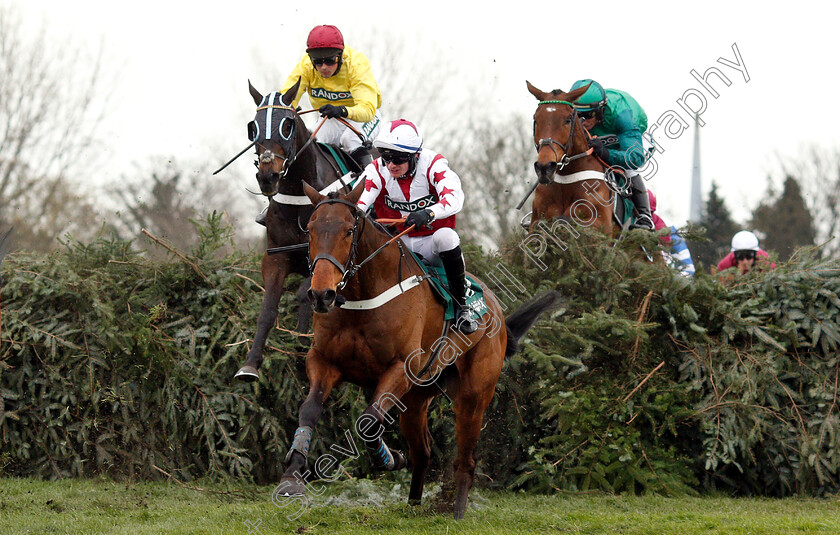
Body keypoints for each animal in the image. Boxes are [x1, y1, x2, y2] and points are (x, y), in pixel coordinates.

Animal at [233, 80, 360, 382]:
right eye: (253, 127)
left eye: (287, 125)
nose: (267, 176)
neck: (299, 197)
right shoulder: (276, 257)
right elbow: (268, 308)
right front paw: (250, 364)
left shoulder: (327, 259)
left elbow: (306, 292)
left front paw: (303, 345)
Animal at [276, 181, 560, 520]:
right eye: (310, 230)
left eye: (348, 231)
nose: (322, 294)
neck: (364, 297)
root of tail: (497, 311)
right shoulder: (323, 361)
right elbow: (309, 410)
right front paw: (291, 478)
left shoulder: (401, 367)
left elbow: (368, 420)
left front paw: (387, 457)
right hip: (414, 400)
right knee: (422, 451)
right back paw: (413, 503)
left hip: (474, 395)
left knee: (466, 460)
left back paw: (457, 511)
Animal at [520, 81, 628, 234]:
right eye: (536, 119)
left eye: (568, 120)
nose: (545, 167)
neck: (567, 179)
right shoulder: (535, 220)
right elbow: (538, 225)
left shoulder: (601, 225)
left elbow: (564, 220)